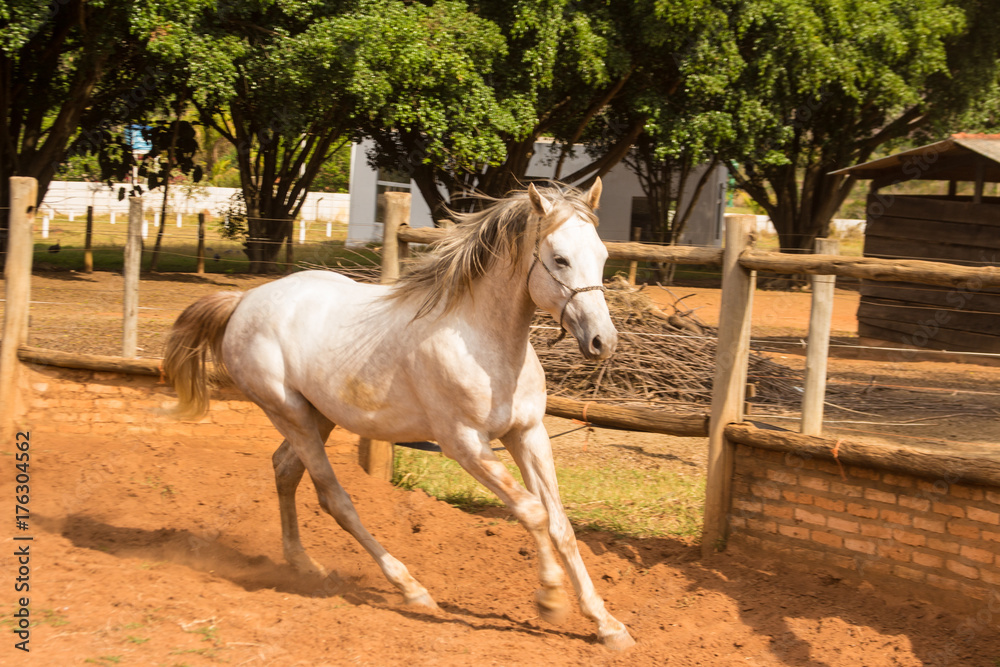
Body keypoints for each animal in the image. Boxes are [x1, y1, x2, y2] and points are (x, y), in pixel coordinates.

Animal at [162, 180, 632, 648]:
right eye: (560, 259)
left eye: (602, 255)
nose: (602, 341)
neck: (482, 343)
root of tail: (243, 300)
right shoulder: (464, 443)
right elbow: (532, 511)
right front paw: (550, 600)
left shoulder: (528, 434)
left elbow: (560, 524)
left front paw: (607, 624)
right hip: (289, 413)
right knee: (335, 499)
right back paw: (410, 588)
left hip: (318, 416)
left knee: (284, 470)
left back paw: (304, 564)